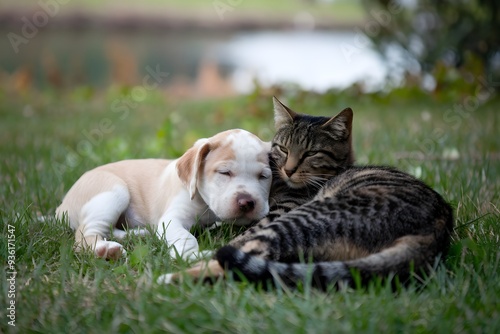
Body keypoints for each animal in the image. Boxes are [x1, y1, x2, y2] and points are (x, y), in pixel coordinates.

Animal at [56, 129, 272, 260]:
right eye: (224, 172)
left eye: (264, 176)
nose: (247, 202)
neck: (207, 206)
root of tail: (60, 207)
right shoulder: (172, 219)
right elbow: (186, 238)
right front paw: (195, 257)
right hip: (113, 192)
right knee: (85, 235)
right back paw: (105, 250)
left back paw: (140, 233)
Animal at [163, 97, 454, 290]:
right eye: (282, 148)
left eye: (311, 153)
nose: (288, 169)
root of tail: (437, 229)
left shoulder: (275, 213)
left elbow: (241, 234)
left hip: (301, 219)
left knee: (240, 256)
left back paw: (166, 278)